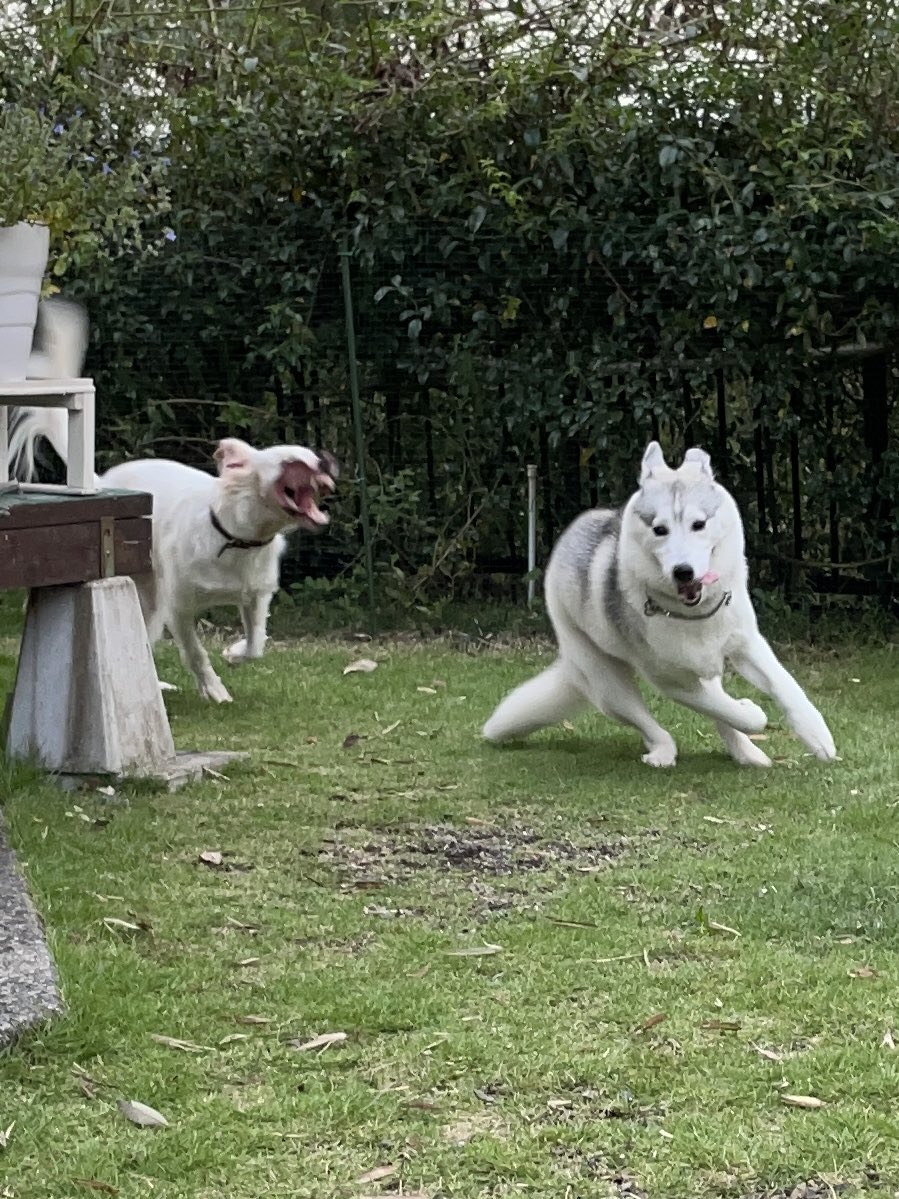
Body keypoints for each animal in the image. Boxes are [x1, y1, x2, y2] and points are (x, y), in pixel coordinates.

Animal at [11, 298, 339, 703]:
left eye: (313, 456)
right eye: (292, 462)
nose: (327, 461)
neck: (237, 538)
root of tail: (102, 480)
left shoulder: (254, 597)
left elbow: (256, 643)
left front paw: (234, 654)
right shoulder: (179, 607)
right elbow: (195, 652)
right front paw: (214, 688)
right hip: (147, 595)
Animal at [483, 442, 837, 768]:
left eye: (699, 524)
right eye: (659, 529)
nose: (683, 571)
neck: (692, 614)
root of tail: (568, 537)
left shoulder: (746, 644)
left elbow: (785, 686)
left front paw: (816, 734)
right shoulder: (670, 681)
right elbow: (735, 712)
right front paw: (751, 710)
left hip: (702, 672)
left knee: (720, 708)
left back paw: (745, 753)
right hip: (609, 686)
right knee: (654, 726)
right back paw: (663, 753)